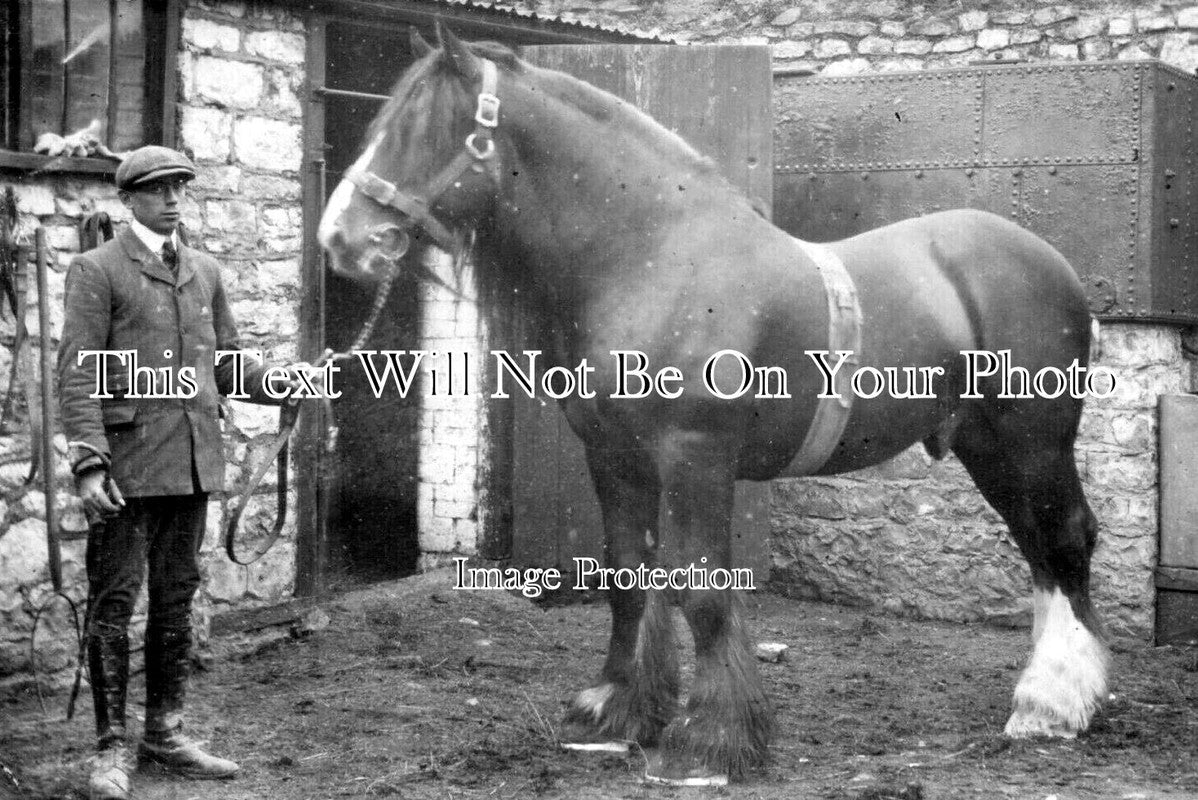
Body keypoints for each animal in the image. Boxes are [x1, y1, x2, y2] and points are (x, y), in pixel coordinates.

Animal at [317, 26, 1109, 786]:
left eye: (426, 128)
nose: (341, 238)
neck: (654, 257)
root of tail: (1053, 262)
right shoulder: (614, 457)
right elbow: (628, 576)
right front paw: (620, 711)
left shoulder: (694, 455)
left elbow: (699, 587)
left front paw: (713, 742)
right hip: (987, 447)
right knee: (1039, 547)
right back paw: (1050, 693)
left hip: (1034, 442)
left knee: (1066, 537)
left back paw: (1054, 704)